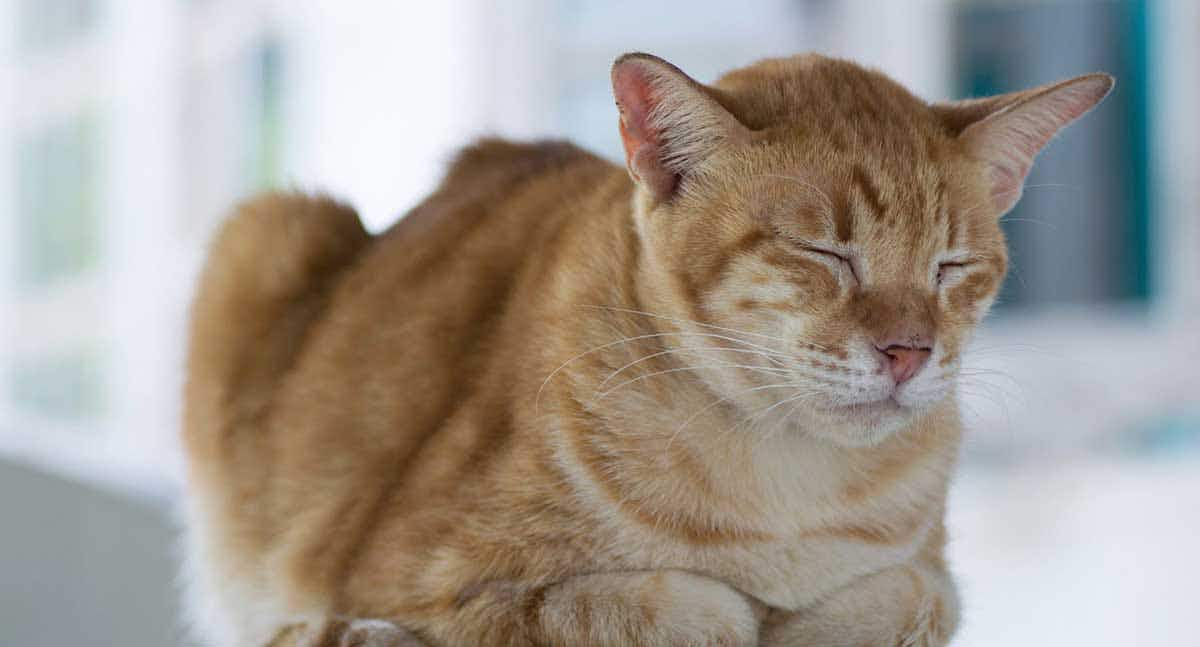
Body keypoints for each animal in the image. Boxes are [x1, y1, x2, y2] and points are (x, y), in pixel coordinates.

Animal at [182, 53, 1108, 643]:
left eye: (952, 266)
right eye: (825, 253)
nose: (909, 351)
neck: (790, 491)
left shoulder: (929, 576)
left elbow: (911, 595)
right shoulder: (412, 578)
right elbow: (661, 609)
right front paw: (738, 612)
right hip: (260, 232)